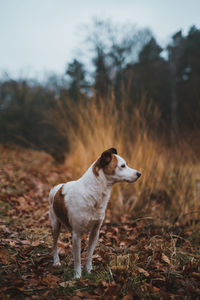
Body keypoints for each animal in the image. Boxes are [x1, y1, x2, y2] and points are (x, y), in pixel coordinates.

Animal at [49, 148, 141, 278]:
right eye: (122, 166)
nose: (139, 174)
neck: (91, 193)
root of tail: (57, 188)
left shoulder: (95, 231)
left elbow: (89, 255)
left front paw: (88, 271)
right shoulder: (76, 233)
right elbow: (77, 258)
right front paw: (77, 276)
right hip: (55, 225)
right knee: (55, 244)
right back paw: (56, 262)